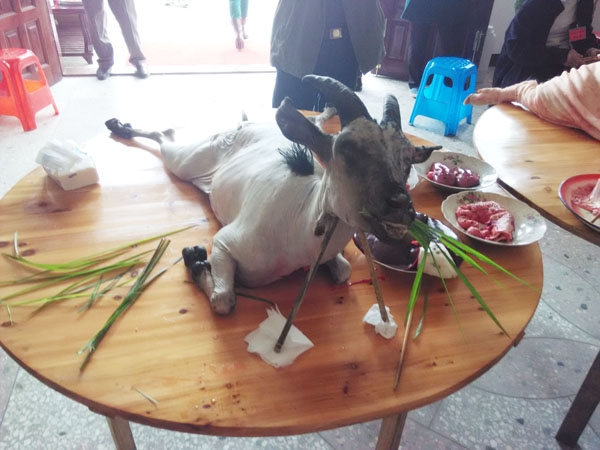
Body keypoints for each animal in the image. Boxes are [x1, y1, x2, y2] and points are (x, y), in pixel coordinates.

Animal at [106, 76, 439, 326]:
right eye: (346, 150)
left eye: (408, 160)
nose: (401, 206)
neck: (299, 233)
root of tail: (246, 125)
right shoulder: (225, 242)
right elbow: (223, 300)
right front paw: (195, 258)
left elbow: (344, 271)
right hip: (187, 162)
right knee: (165, 133)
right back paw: (119, 126)